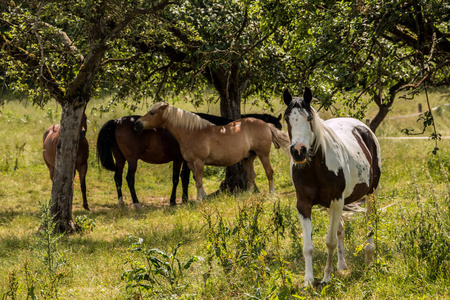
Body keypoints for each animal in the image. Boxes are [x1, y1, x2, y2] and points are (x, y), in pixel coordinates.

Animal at [134, 102, 290, 200]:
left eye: (152, 113)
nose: (137, 124)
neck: (192, 132)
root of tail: (266, 124)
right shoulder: (190, 163)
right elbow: (196, 179)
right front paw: (202, 196)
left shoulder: (199, 162)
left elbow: (199, 180)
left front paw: (199, 199)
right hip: (249, 157)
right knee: (251, 176)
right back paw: (249, 195)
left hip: (263, 154)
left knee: (269, 172)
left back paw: (271, 194)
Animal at [284, 86, 382, 286]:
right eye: (286, 118)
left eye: (309, 117)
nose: (298, 151)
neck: (315, 168)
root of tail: (363, 128)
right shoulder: (303, 204)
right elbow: (308, 246)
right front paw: (308, 281)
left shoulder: (337, 201)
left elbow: (330, 241)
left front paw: (326, 277)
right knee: (341, 229)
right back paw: (342, 265)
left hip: (371, 192)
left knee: (369, 220)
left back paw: (368, 259)